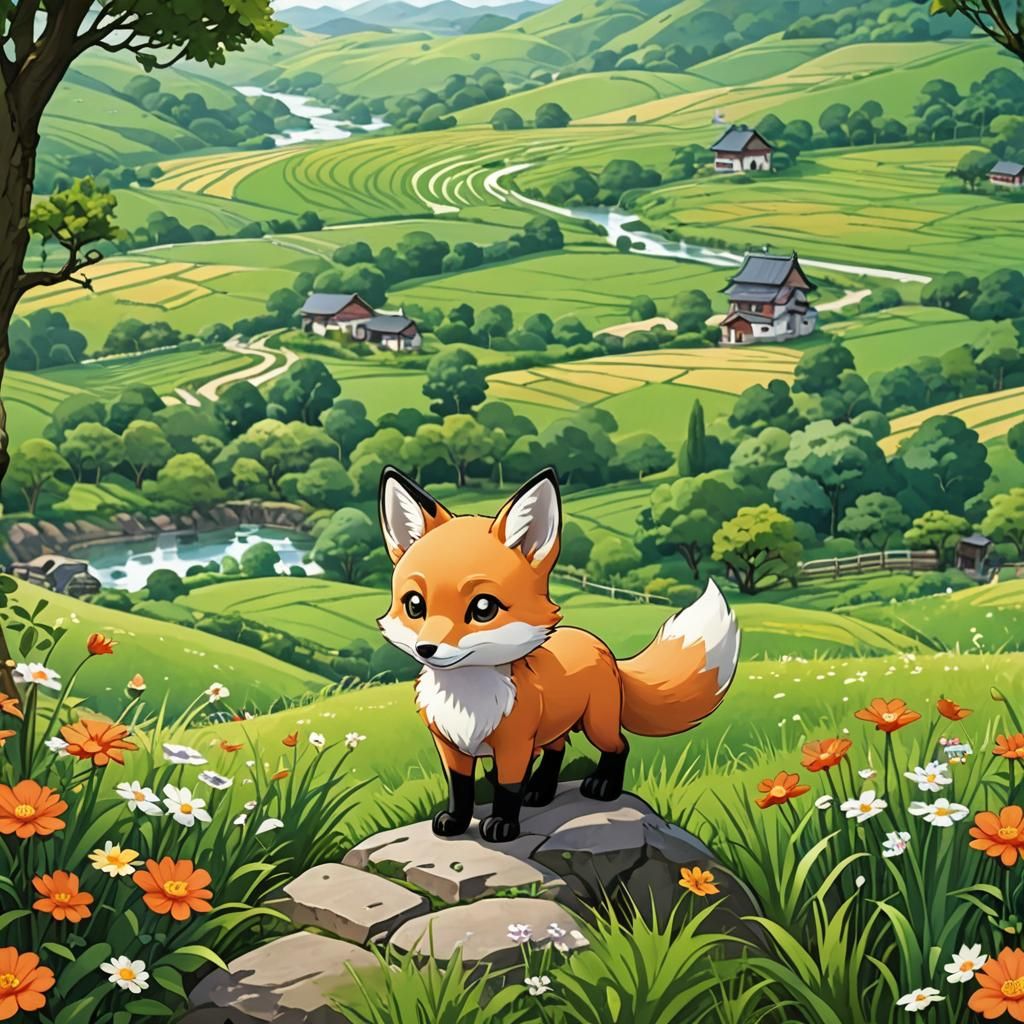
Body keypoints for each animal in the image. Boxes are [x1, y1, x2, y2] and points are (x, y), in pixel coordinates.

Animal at [376, 465, 741, 844]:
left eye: (483, 608)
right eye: (415, 605)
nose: (426, 649)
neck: (467, 702)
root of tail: (600, 645)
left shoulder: (515, 744)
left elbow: (508, 789)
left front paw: (503, 825)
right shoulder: (450, 746)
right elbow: (461, 789)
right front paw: (455, 822)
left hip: (598, 724)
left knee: (620, 745)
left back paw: (603, 786)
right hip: (557, 726)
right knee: (558, 750)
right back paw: (540, 791)